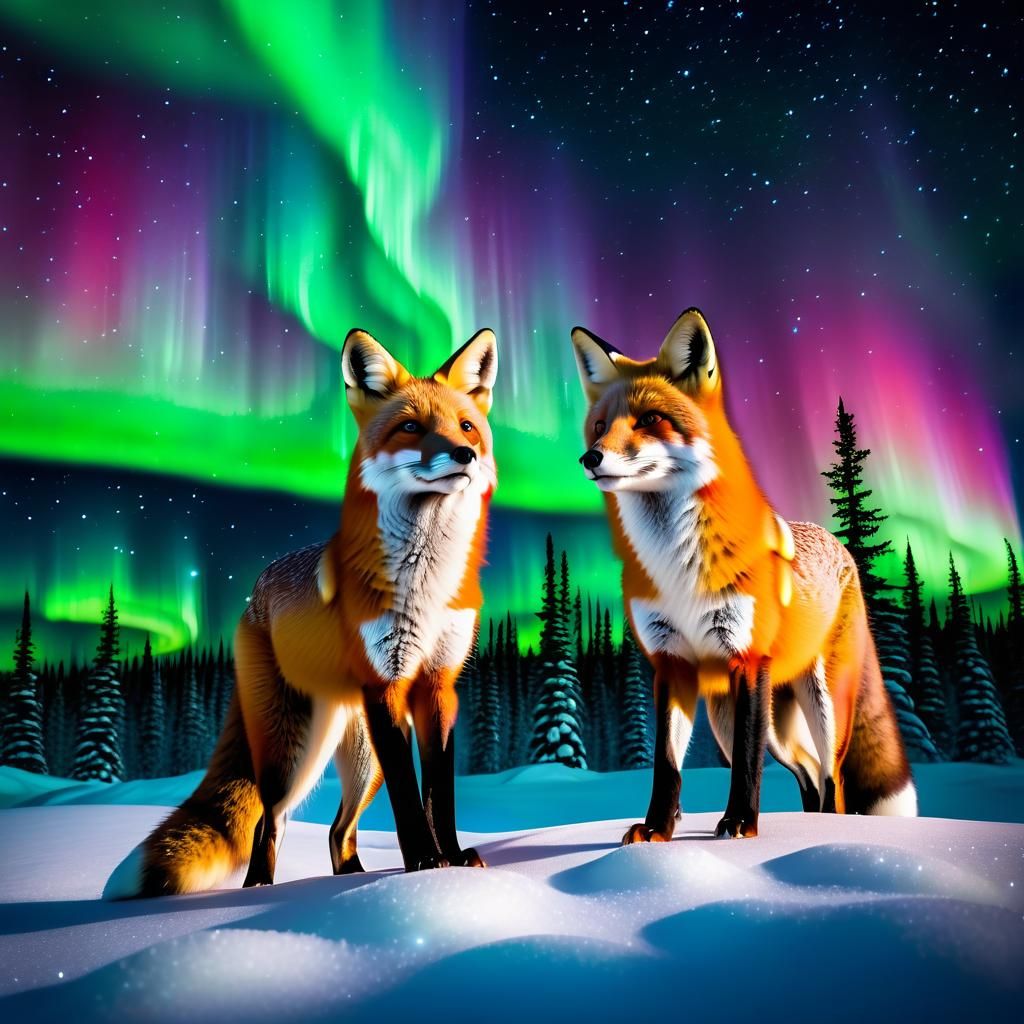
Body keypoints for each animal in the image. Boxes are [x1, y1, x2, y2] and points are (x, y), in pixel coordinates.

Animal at [105, 327, 498, 898]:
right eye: (410, 427)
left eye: (466, 426)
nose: (465, 454)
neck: (425, 583)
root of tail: (255, 595)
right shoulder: (387, 684)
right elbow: (410, 800)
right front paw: (426, 864)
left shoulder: (437, 686)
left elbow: (437, 797)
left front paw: (451, 861)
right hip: (291, 751)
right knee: (270, 821)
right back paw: (260, 888)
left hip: (362, 758)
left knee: (338, 830)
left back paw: (348, 878)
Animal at [570, 308, 915, 842]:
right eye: (600, 427)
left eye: (649, 420)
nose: (590, 459)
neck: (677, 567)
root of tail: (839, 545)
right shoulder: (672, 661)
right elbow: (666, 766)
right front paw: (657, 831)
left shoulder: (747, 659)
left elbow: (745, 769)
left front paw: (738, 825)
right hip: (744, 719)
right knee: (807, 774)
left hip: (820, 708)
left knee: (832, 780)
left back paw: (827, 830)